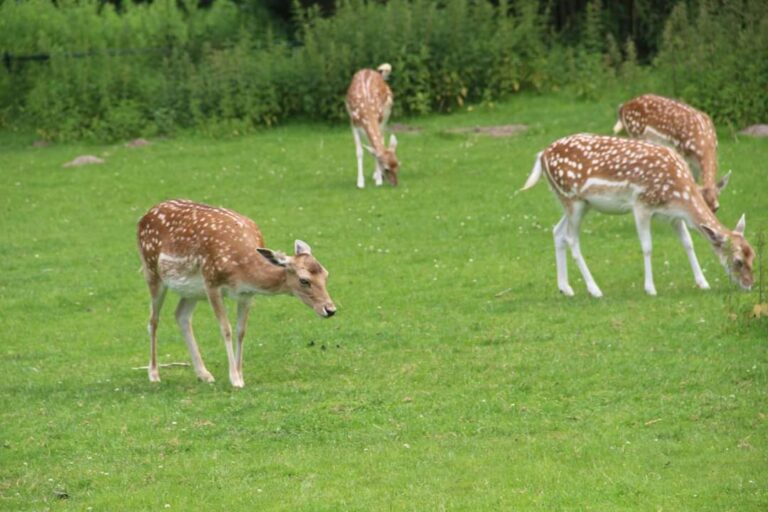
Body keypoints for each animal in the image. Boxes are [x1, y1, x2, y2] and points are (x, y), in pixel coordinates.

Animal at [136, 200, 334, 388]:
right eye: (304, 280)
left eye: (326, 274)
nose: (330, 309)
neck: (243, 271)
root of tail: (145, 215)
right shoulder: (212, 283)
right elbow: (226, 329)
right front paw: (235, 379)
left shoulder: (246, 294)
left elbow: (241, 331)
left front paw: (240, 374)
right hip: (151, 270)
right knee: (153, 320)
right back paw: (154, 374)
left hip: (191, 290)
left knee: (181, 315)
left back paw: (204, 374)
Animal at [520, 134, 756, 298]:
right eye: (737, 261)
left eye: (752, 255)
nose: (749, 285)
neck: (679, 194)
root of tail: (542, 155)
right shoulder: (641, 204)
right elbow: (647, 246)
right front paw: (650, 288)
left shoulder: (673, 216)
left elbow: (688, 243)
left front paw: (703, 282)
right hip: (572, 199)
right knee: (571, 239)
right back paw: (594, 289)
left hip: (578, 203)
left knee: (557, 231)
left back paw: (565, 288)